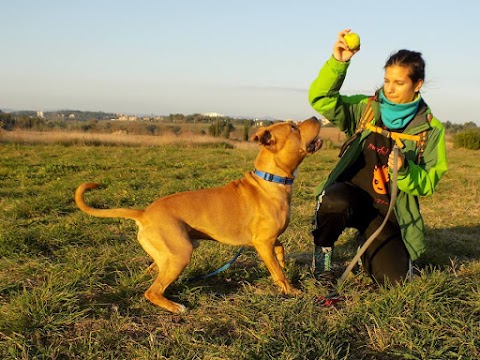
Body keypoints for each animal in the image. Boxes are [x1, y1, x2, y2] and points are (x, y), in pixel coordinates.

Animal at [75, 117, 322, 312]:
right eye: (293, 127)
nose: (315, 117)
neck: (270, 180)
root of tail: (144, 213)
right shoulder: (262, 242)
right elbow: (278, 272)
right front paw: (290, 290)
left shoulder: (267, 240)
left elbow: (280, 249)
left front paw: (284, 262)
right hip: (180, 253)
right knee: (152, 291)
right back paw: (176, 307)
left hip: (168, 254)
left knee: (151, 272)